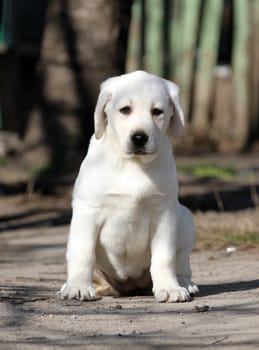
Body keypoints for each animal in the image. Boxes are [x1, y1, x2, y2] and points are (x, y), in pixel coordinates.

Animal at [61, 70, 199, 300]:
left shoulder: (164, 213)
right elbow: (83, 253)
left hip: (185, 217)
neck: (132, 164)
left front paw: (169, 288)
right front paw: (78, 286)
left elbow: (165, 256)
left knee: (182, 264)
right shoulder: (88, 211)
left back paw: (185, 283)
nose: (139, 137)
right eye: (125, 110)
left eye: (157, 111)